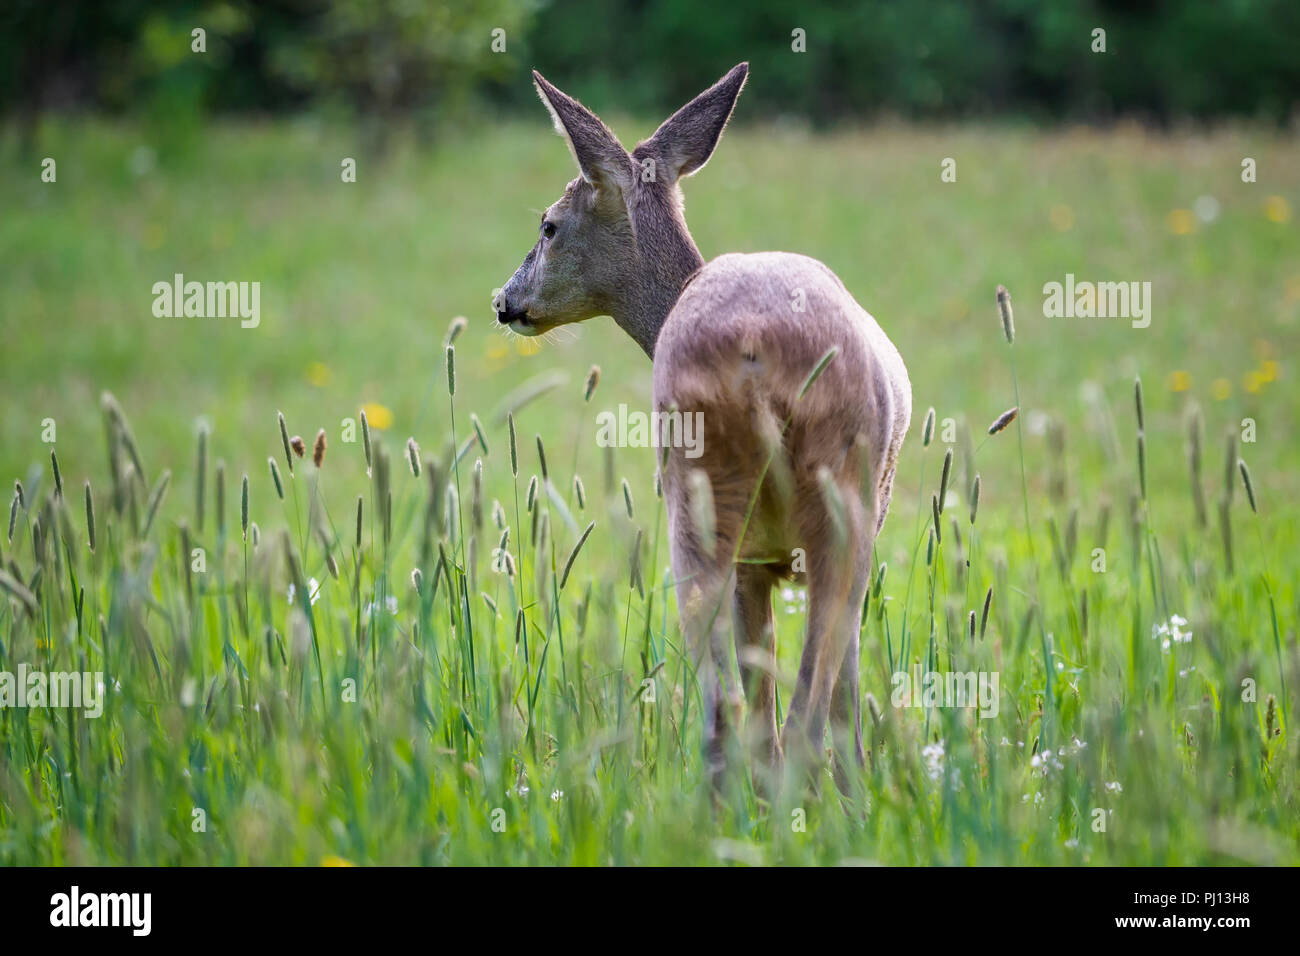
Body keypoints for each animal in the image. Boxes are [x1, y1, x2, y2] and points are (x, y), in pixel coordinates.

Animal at [494, 63, 911, 792]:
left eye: (548, 225)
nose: (504, 301)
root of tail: (753, 346)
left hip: (709, 499)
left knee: (735, 712)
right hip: (822, 511)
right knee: (794, 714)